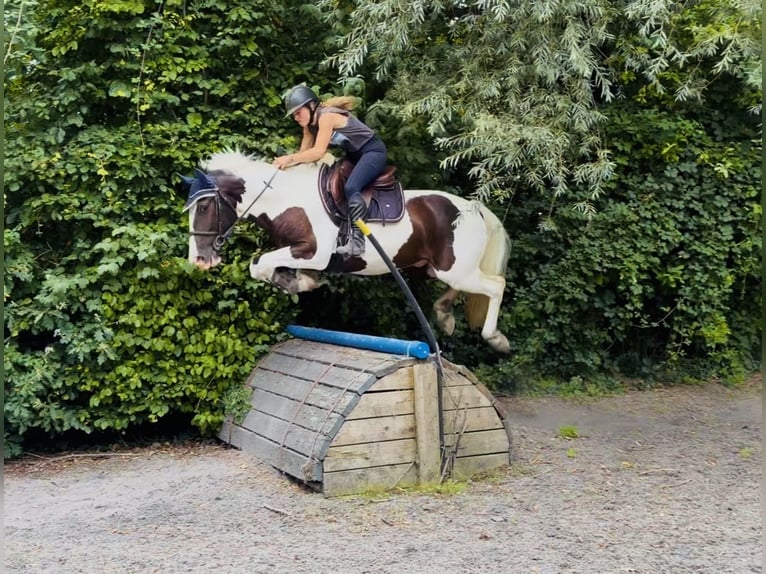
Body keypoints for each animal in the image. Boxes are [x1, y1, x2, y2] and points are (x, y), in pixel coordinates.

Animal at [182, 150, 512, 353]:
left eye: (205, 207)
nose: (198, 260)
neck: (286, 201)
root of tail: (474, 208)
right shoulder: (301, 254)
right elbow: (265, 266)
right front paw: (299, 282)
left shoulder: (314, 253)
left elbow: (259, 263)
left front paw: (293, 283)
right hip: (435, 268)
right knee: (463, 288)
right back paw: (445, 316)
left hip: (455, 269)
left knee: (496, 285)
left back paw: (496, 338)